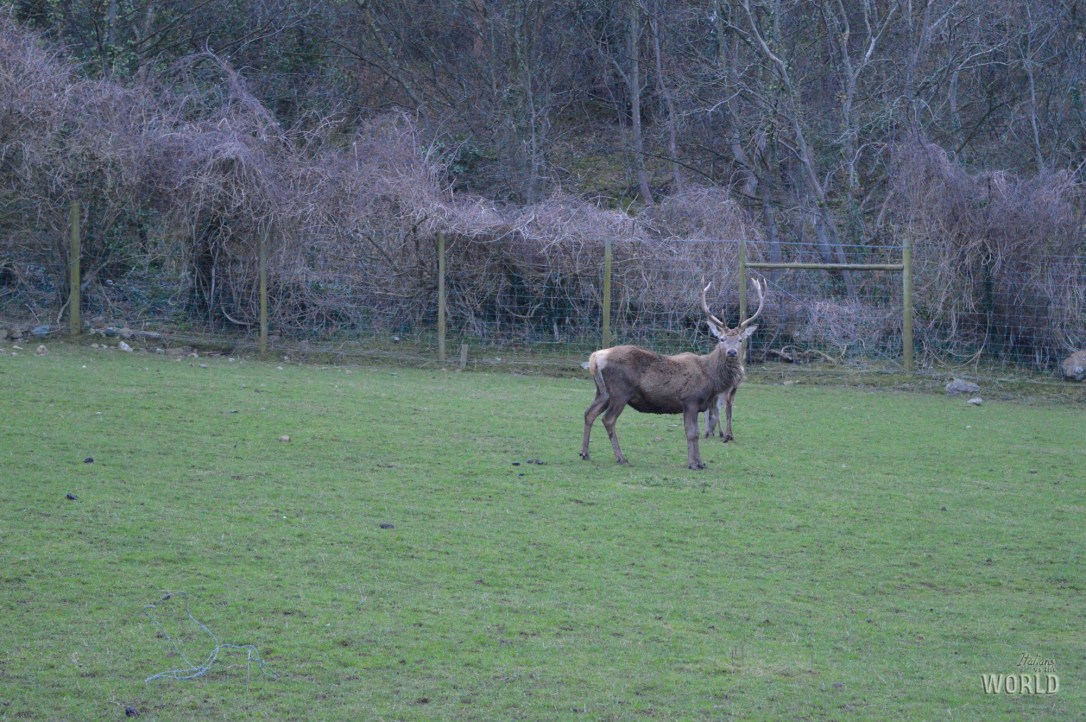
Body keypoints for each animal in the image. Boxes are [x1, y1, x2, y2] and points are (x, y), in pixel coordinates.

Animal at [580, 277, 765, 469]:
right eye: (721, 339)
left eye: (740, 340)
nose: (732, 352)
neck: (711, 378)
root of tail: (596, 357)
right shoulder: (690, 400)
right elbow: (692, 433)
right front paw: (693, 464)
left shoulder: (695, 404)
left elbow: (695, 432)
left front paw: (700, 462)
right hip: (620, 391)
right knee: (608, 419)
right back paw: (620, 457)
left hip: (603, 392)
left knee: (589, 413)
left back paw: (585, 453)